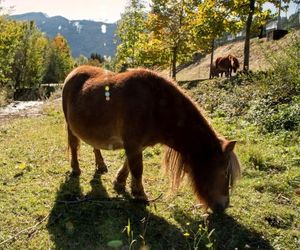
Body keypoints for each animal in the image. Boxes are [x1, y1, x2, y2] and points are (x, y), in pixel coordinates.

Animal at [62, 65, 240, 212]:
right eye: (224, 172)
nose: (224, 205)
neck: (156, 106)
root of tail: (74, 72)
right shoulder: (133, 143)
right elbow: (137, 168)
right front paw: (140, 196)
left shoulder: (138, 145)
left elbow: (129, 164)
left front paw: (121, 182)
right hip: (69, 126)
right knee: (73, 145)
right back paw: (76, 168)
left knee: (95, 145)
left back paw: (101, 165)